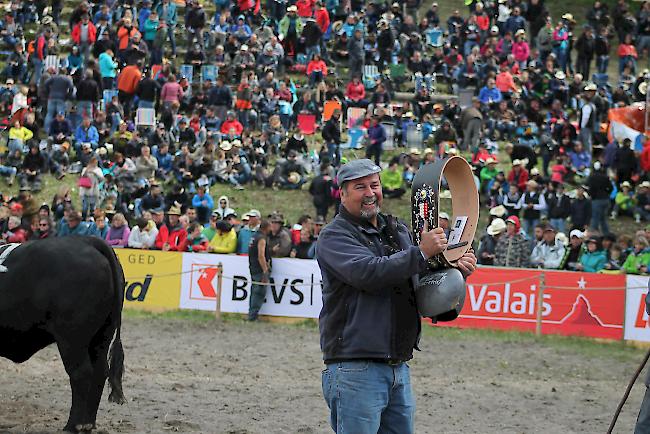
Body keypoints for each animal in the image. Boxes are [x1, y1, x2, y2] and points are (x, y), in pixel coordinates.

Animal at [0, 236, 125, 432]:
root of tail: (87, 241)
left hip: (72, 339)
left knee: (81, 373)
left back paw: (73, 425)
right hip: (102, 336)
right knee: (100, 372)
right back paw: (88, 423)